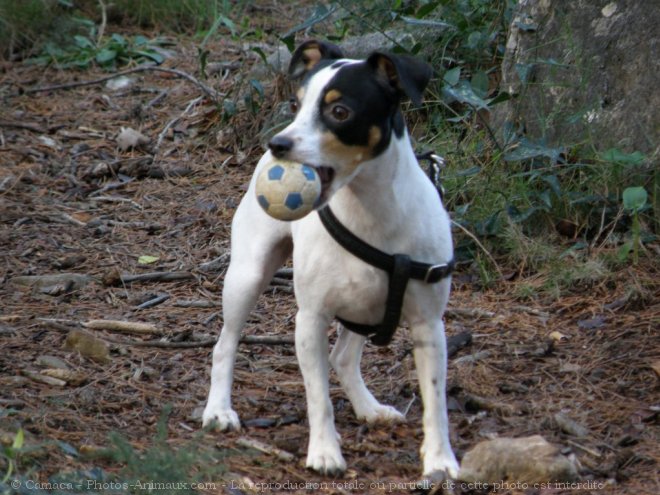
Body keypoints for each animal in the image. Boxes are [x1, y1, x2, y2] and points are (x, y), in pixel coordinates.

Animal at [202, 40, 458, 482]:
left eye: (340, 111)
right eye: (296, 103)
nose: (278, 143)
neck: (371, 212)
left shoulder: (429, 326)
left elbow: (436, 400)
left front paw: (441, 460)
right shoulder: (311, 319)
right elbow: (318, 397)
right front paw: (324, 451)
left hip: (366, 306)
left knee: (343, 357)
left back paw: (369, 407)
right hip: (247, 276)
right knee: (225, 344)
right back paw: (219, 409)